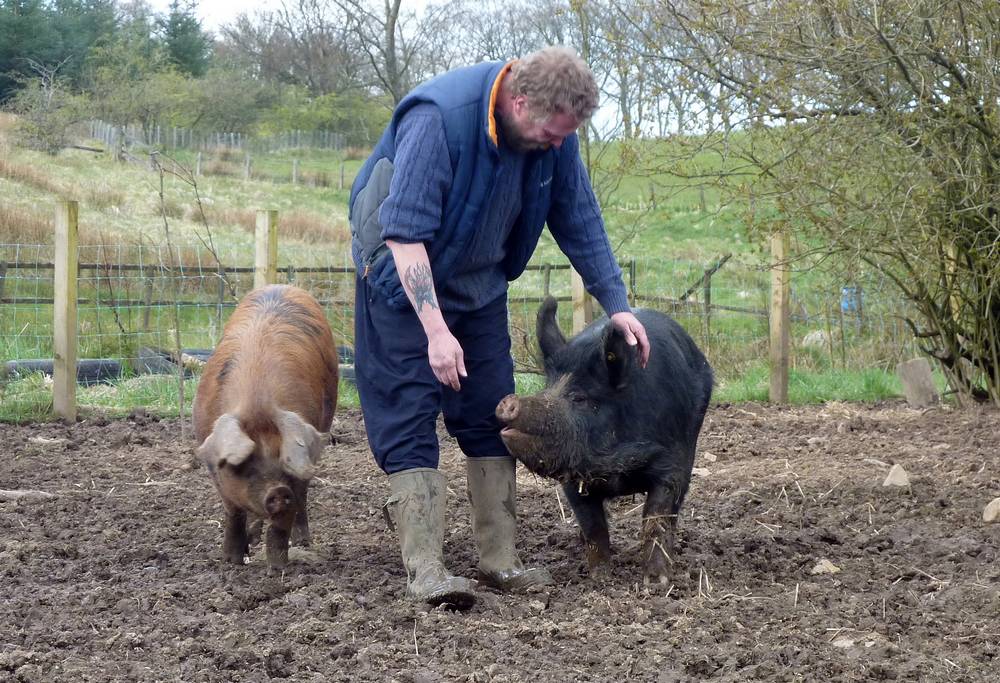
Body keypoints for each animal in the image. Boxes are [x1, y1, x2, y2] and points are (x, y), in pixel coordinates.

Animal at [494, 296, 712, 584]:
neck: (614, 464)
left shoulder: (672, 465)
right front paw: (599, 578)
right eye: (548, 387)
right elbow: (593, 526)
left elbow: (656, 518)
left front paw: (656, 582)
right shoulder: (573, 478)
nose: (509, 402)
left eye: (580, 397)